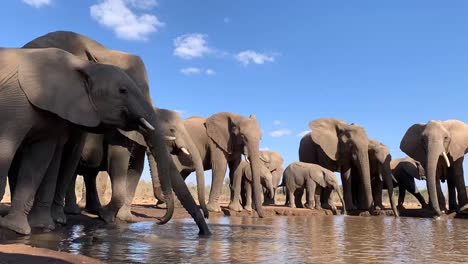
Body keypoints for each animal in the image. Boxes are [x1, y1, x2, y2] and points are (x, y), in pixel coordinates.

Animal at [0, 47, 174, 235]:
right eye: (122, 91)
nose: (159, 221)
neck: (80, 65)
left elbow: (38, 160)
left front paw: (18, 228)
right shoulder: (16, 102)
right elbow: (6, 147)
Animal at [19, 31, 207, 235]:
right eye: (172, 130)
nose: (159, 221)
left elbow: (135, 169)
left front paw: (124, 219)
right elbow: (117, 161)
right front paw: (106, 218)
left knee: (87, 172)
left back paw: (86, 210)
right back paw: (72, 213)